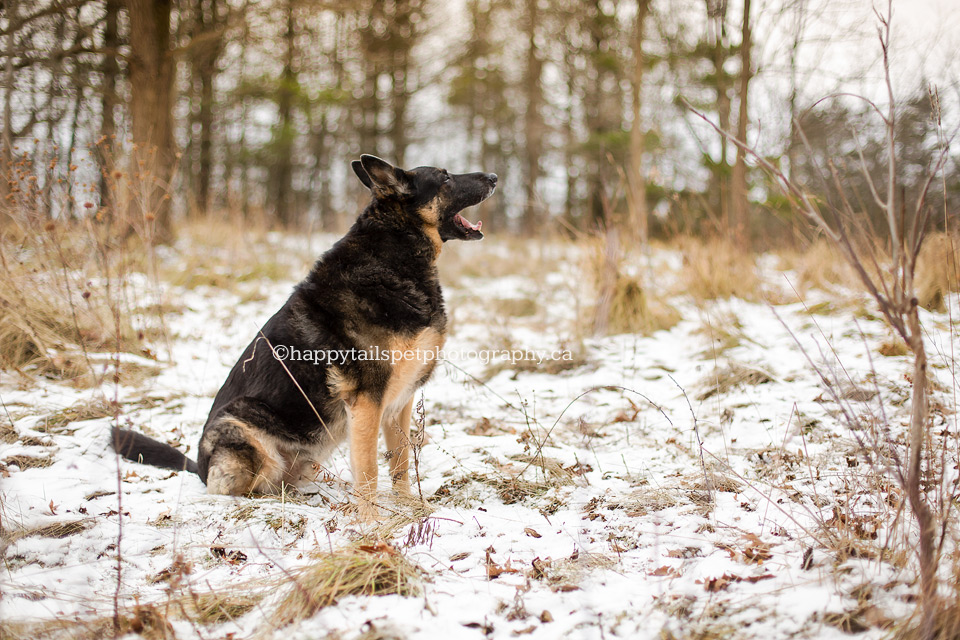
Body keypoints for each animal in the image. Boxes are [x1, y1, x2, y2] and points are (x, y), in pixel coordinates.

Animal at [112, 155, 498, 520]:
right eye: (445, 178)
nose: (494, 177)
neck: (393, 253)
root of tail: (200, 467)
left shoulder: (398, 403)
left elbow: (401, 464)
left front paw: (411, 510)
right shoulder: (366, 402)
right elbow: (369, 472)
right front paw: (372, 525)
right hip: (245, 436)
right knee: (232, 489)